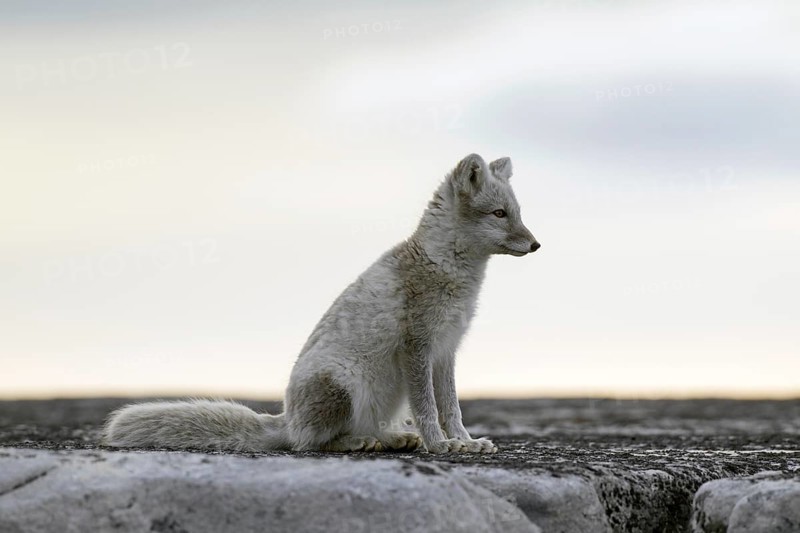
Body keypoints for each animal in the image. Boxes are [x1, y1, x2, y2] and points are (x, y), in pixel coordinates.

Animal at [103, 153, 540, 454]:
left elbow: (451, 407)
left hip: (385, 395)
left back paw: (391, 438)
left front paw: (466, 441)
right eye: (499, 214)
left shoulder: (446, 350)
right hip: (342, 383)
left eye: (517, 213)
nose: (537, 244)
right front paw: (440, 445)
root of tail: (285, 419)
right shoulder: (418, 346)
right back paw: (358, 443)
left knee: (357, 431)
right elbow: (429, 408)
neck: (448, 269)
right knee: (310, 444)